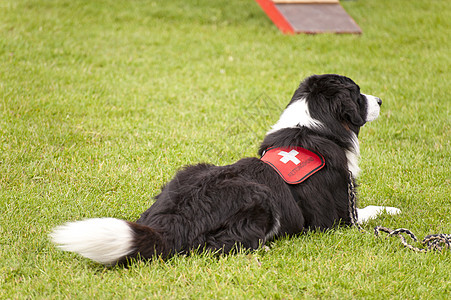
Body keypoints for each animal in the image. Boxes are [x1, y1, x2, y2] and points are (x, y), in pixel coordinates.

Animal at [53, 74, 402, 264]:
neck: (317, 125)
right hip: (261, 198)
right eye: (358, 93)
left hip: (189, 171)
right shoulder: (340, 218)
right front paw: (394, 211)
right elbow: (371, 210)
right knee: (217, 247)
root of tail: (174, 220)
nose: (381, 100)